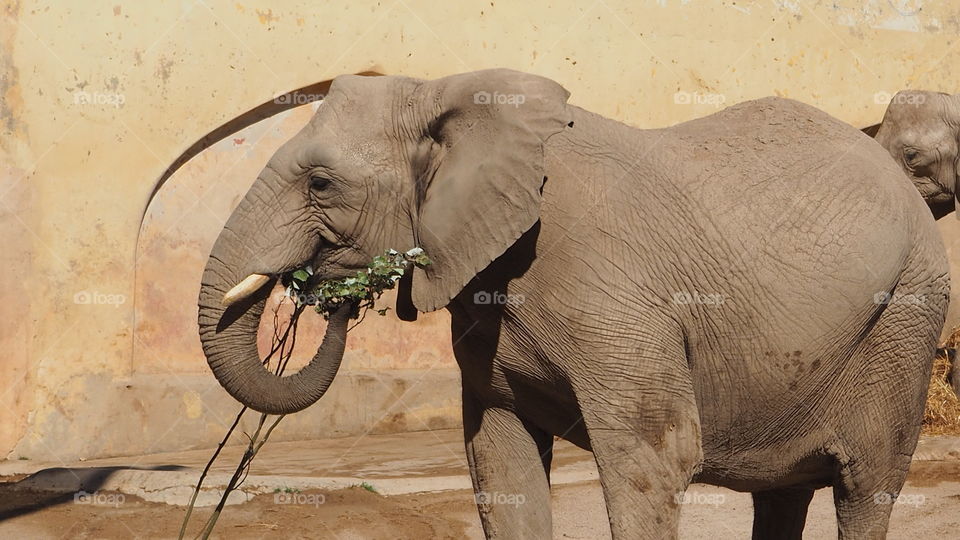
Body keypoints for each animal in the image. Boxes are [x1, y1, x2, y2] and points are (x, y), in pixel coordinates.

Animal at [198, 70, 949, 539]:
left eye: (321, 182)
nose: (332, 301)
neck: (450, 93)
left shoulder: (614, 297)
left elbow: (656, 458)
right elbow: (498, 460)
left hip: (906, 315)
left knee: (866, 488)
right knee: (784, 492)